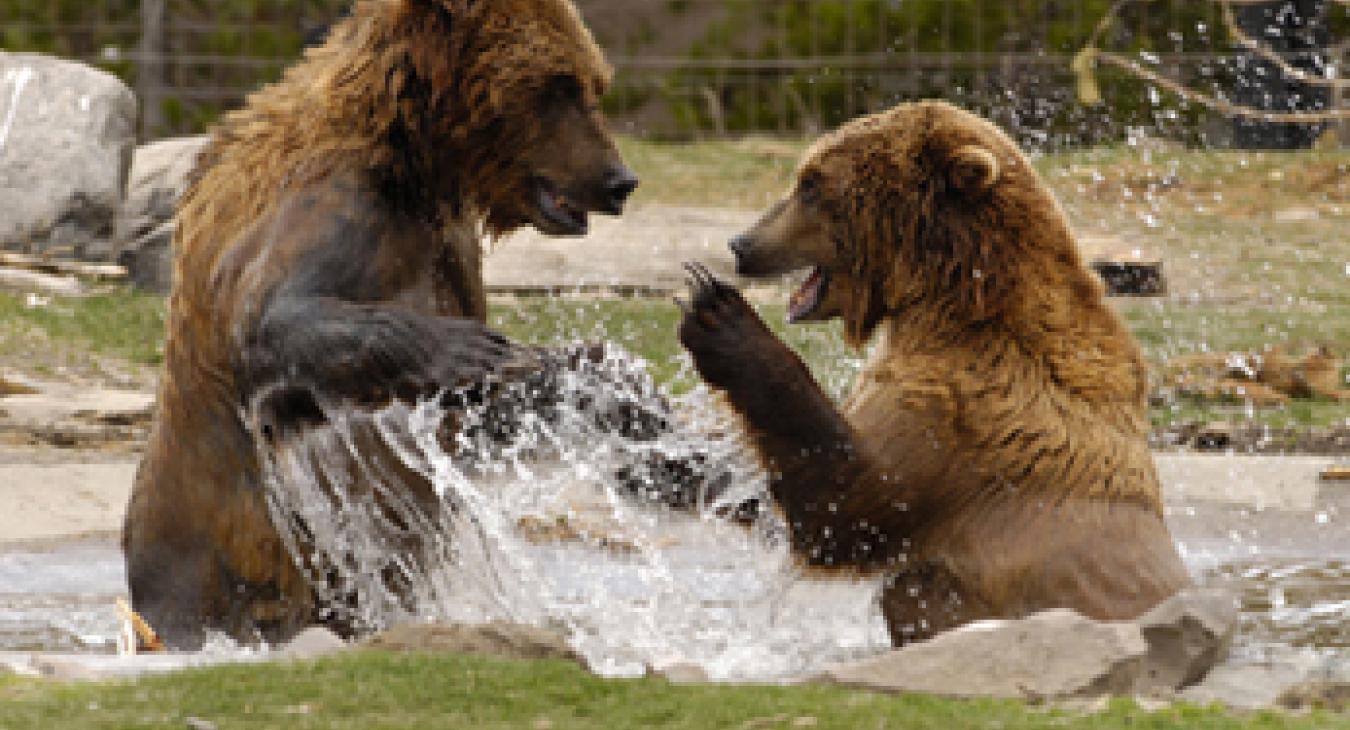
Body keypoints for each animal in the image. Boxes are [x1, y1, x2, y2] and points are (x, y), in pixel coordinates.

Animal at [123, 0, 643, 649]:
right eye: (558, 86)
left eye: (593, 82)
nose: (619, 180)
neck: (420, 163)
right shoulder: (337, 210)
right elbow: (271, 319)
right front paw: (474, 351)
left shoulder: (448, 244)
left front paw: (612, 386)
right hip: (223, 571)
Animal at [678, 100, 1193, 647]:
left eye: (811, 185)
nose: (741, 245)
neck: (948, 306)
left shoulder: (966, 416)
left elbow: (848, 505)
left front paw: (716, 310)